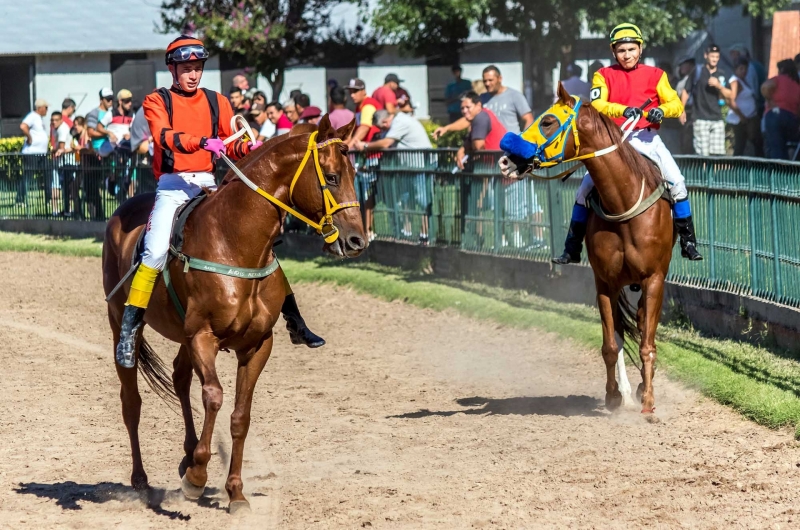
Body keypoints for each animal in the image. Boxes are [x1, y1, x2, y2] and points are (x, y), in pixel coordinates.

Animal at [101, 115, 364, 512]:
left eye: (354, 173)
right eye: (332, 177)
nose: (358, 240)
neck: (234, 241)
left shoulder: (257, 345)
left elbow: (241, 415)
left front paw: (234, 491)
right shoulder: (203, 337)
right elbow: (214, 396)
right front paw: (197, 477)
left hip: (182, 334)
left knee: (180, 378)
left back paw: (187, 454)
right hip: (121, 321)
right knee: (131, 401)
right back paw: (143, 481)